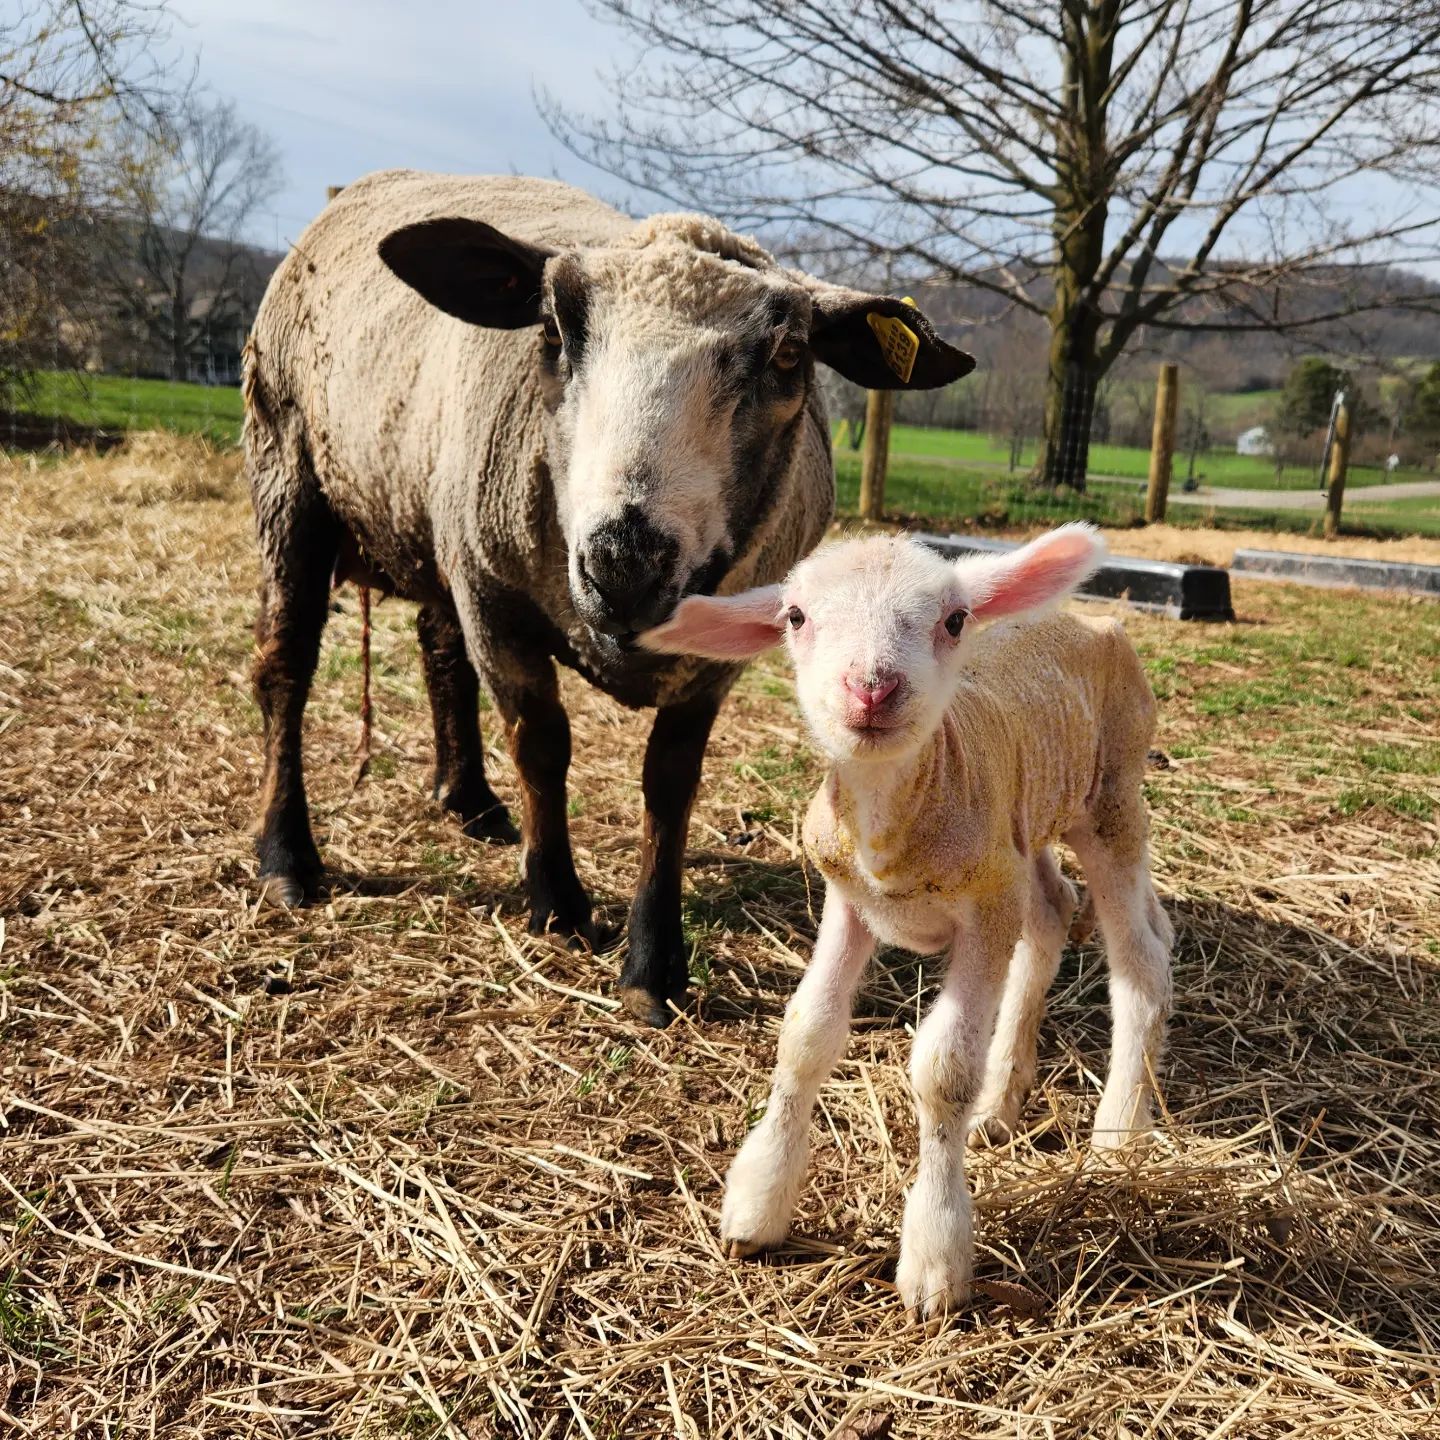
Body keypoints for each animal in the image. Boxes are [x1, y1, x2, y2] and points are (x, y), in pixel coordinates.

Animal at [241, 171, 973, 1025]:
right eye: (553, 334)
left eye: (790, 355)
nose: (624, 564)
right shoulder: (495, 598)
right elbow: (542, 746)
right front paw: (558, 904)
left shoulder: (717, 658)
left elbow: (671, 781)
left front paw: (653, 966)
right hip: (291, 469)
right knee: (286, 667)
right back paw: (287, 857)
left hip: (436, 519)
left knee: (437, 646)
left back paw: (470, 800)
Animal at [648, 524, 1175, 1319]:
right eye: (795, 617)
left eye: (954, 620)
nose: (872, 687)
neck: (892, 827)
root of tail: (1087, 619)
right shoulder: (851, 901)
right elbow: (806, 1036)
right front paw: (756, 1206)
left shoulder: (984, 908)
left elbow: (943, 1070)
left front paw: (934, 1257)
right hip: (1027, 822)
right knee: (1052, 914)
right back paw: (1002, 1100)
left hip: (1111, 796)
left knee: (1142, 958)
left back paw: (1118, 1129)